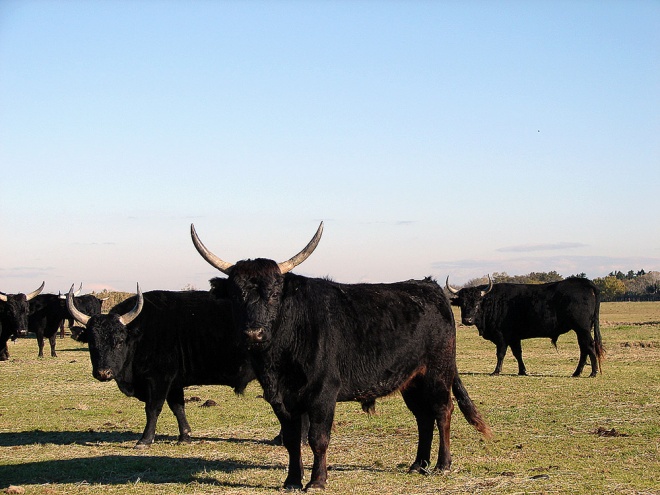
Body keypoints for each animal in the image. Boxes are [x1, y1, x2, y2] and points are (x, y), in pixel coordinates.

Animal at [191, 224, 490, 492]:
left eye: (274, 294)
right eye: (236, 295)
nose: (254, 333)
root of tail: (430, 286)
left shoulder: (323, 392)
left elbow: (318, 438)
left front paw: (317, 481)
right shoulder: (280, 398)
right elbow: (291, 439)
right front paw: (291, 480)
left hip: (437, 373)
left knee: (442, 411)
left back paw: (443, 464)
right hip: (411, 380)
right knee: (423, 417)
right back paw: (418, 464)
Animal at [444, 278, 604, 378]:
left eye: (477, 302)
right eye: (462, 303)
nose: (467, 320)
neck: (493, 302)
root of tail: (585, 282)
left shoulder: (502, 336)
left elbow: (500, 354)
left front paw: (496, 371)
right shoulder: (514, 337)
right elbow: (518, 354)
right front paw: (522, 371)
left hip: (582, 328)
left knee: (590, 346)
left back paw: (593, 372)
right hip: (581, 330)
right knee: (584, 349)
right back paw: (577, 372)